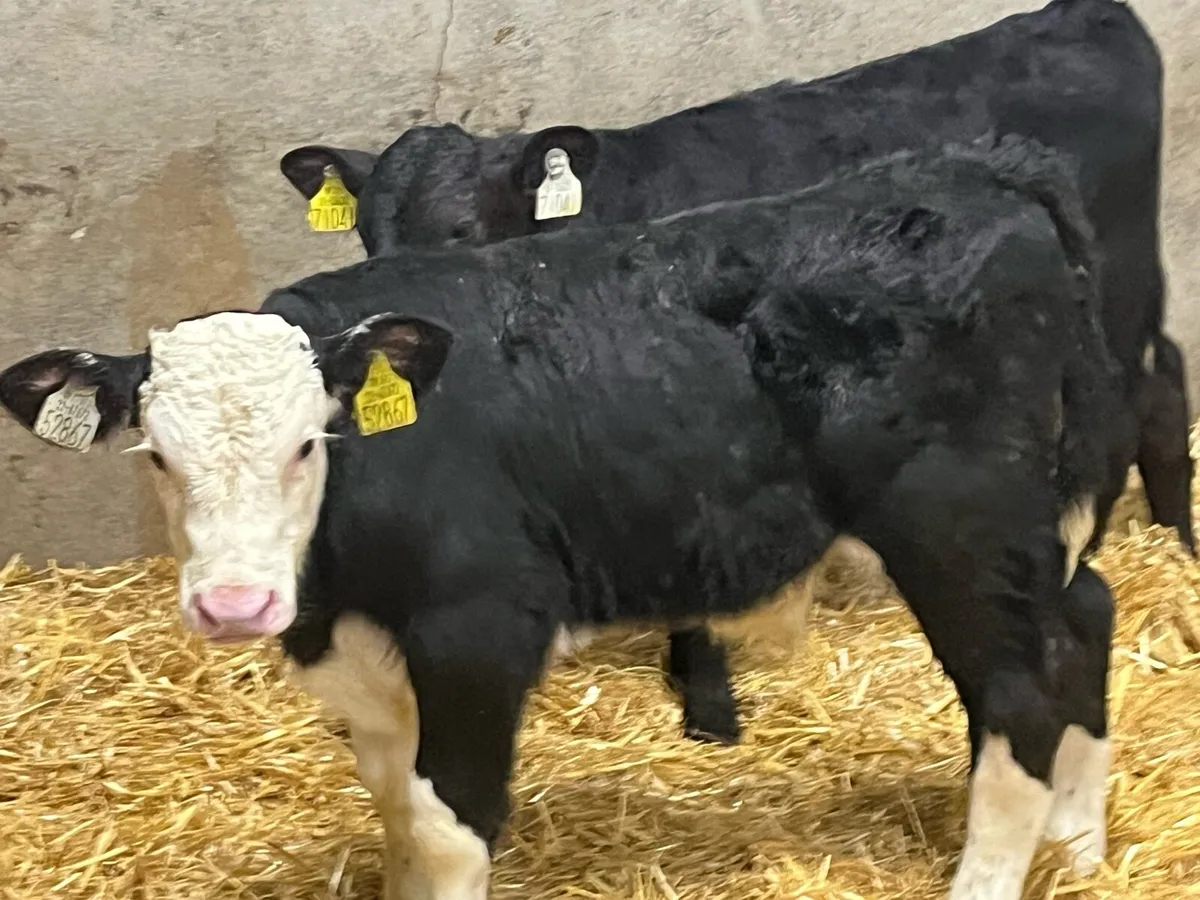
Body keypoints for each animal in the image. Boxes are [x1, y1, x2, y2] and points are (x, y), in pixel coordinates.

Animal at [1, 141, 1121, 900]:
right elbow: (394, 806)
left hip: (959, 524)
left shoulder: (480, 625)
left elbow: (447, 823)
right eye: (156, 456)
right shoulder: (369, 664)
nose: (235, 604)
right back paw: (1079, 844)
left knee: (1019, 694)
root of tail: (978, 169)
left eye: (308, 444)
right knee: (1084, 621)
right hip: (1028, 528)